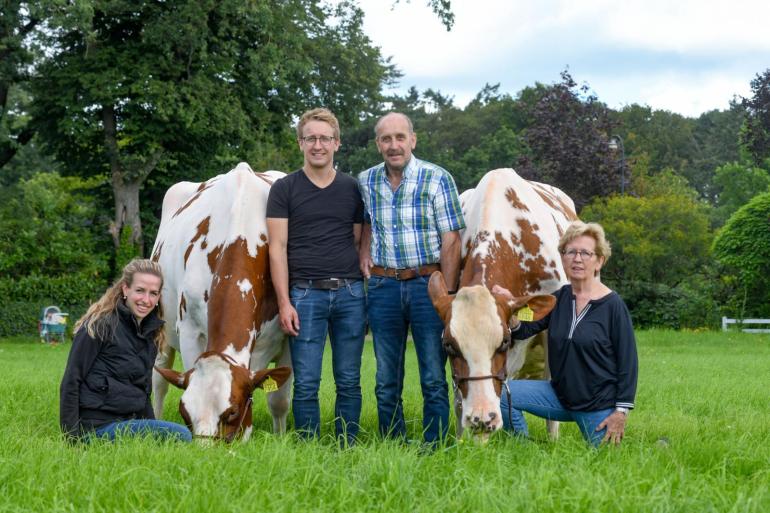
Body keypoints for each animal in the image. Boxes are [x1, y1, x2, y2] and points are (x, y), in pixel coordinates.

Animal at [150, 163, 292, 440]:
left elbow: (278, 400)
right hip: (161, 330)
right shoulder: (190, 331)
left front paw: (281, 439)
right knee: (159, 381)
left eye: (233, 412)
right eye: (184, 413)